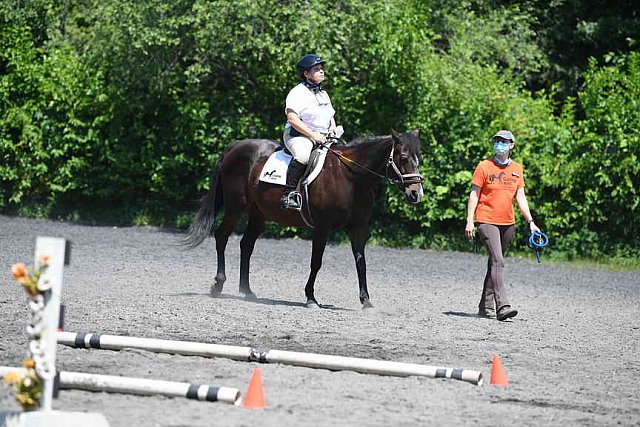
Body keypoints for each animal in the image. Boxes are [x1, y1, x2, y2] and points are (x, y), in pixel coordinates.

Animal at [182, 129, 424, 310]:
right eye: (403, 158)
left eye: (418, 159)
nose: (416, 194)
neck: (351, 178)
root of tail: (236, 146)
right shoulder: (323, 227)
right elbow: (316, 262)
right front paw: (310, 298)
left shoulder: (358, 228)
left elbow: (361, 262)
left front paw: (366, 301)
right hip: (236, 207)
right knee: (222, 236)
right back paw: (218, 285)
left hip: (258, 213)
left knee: (246, 245)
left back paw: (247, 291)